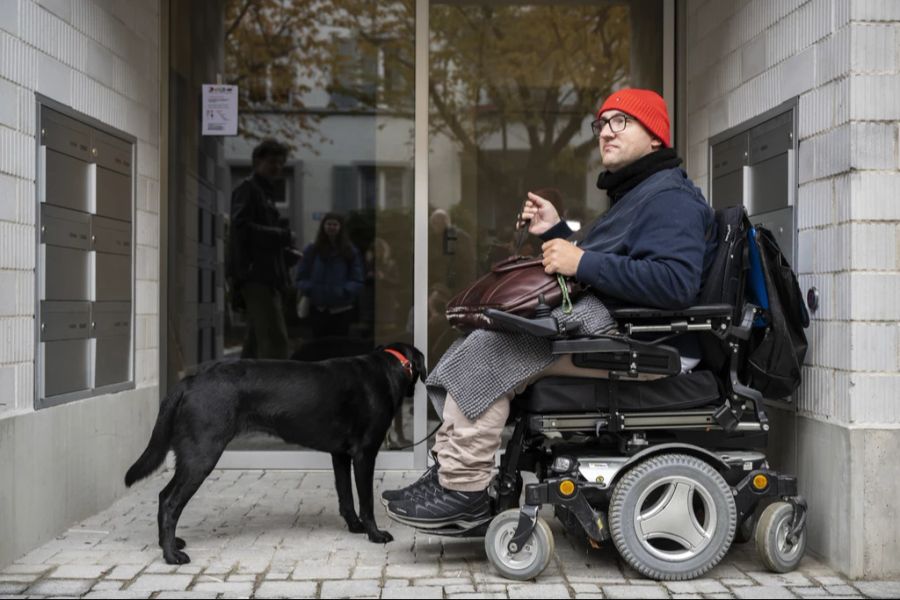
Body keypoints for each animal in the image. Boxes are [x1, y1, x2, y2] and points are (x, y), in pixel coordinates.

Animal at [122, 342, 426, 564]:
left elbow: (346, 498)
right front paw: (375, 534)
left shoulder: (340, 455)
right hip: (202, 454)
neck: (390, 367)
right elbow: (366, 501)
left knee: (163, 496)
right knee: (170, 502)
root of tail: (189, 381)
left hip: (190, 456)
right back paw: (172, 555)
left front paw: (355, 527)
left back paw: (170, 543)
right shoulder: (365, 453)